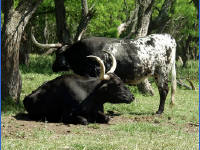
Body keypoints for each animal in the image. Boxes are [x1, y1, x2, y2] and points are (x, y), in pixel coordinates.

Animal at [31, 33, 177, 113]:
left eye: (59, 53)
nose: (53, 67)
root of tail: (168, 37)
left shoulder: (95, 72)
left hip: (162, 73)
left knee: (164, 91)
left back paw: (159, 111)